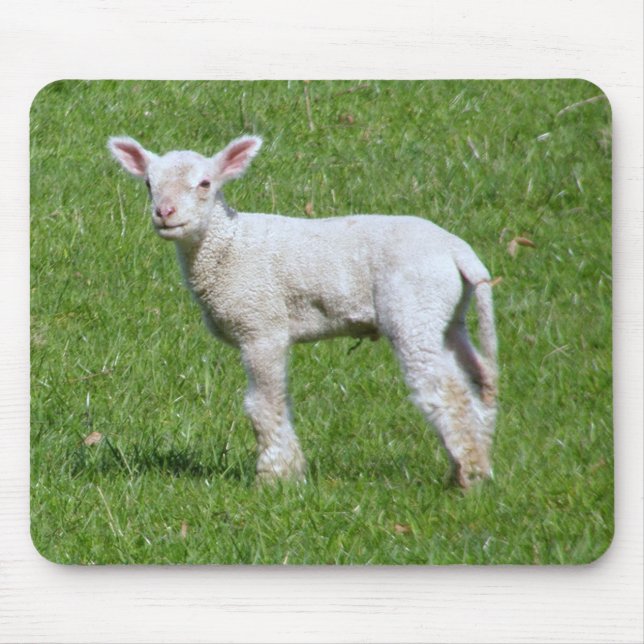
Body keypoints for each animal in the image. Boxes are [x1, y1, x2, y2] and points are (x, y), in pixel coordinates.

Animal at [108, 134, 498, 488]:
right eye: (149, 184)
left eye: (205, 183)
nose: (164, 213)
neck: (229, 245)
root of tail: (459, 252)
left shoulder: (261, 326)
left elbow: (264, 405)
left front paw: (275, 476)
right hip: (446, 314)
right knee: (479, 379)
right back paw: (472, 464)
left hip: (413, 307)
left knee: (446, 390)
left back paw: (469, 476)